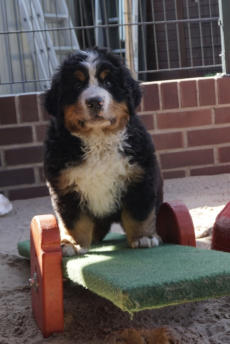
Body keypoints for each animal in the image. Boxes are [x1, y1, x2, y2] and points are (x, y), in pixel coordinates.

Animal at [44, 49, 163, 256]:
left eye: (108, 82)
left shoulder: (139, 176)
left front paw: (143, 237)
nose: (94, 101)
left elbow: (139, 213)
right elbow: (73, 221)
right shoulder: (65, 187)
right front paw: (73, 243)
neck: (99, 139)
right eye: (77, 84)